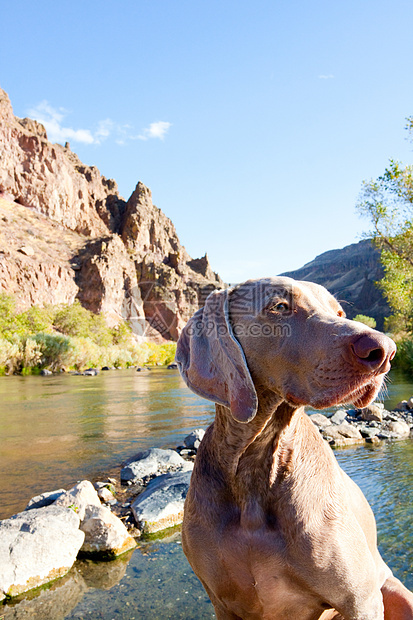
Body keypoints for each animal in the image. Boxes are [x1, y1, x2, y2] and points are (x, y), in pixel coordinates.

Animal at [175, 278, 412, 620]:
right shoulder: (222, 602)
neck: (258, 464)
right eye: (279, 306)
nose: (385, 350)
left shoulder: (361, 600)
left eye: (339, 312)